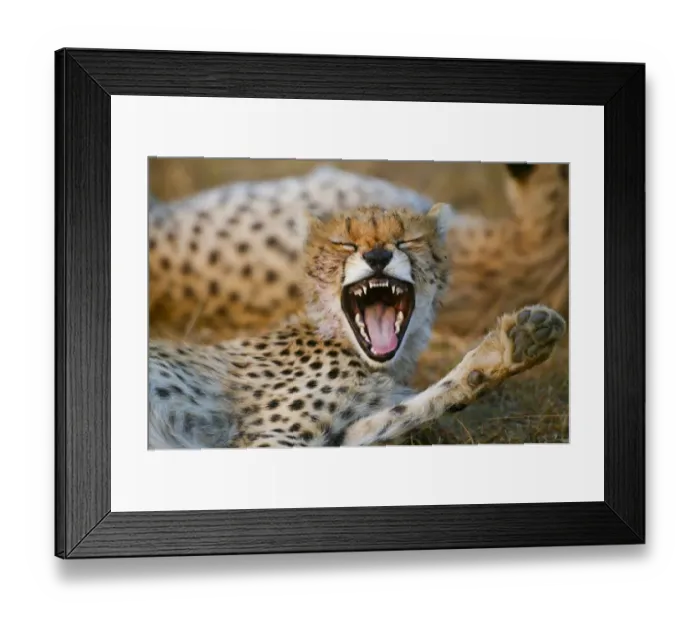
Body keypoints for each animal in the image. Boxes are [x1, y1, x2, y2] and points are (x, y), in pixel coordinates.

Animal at [148, 203, 566, 449]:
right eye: (344, 244)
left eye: (406, 240)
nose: (377, 256)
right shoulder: (268, 438)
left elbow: (401, 413)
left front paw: (508, 350)